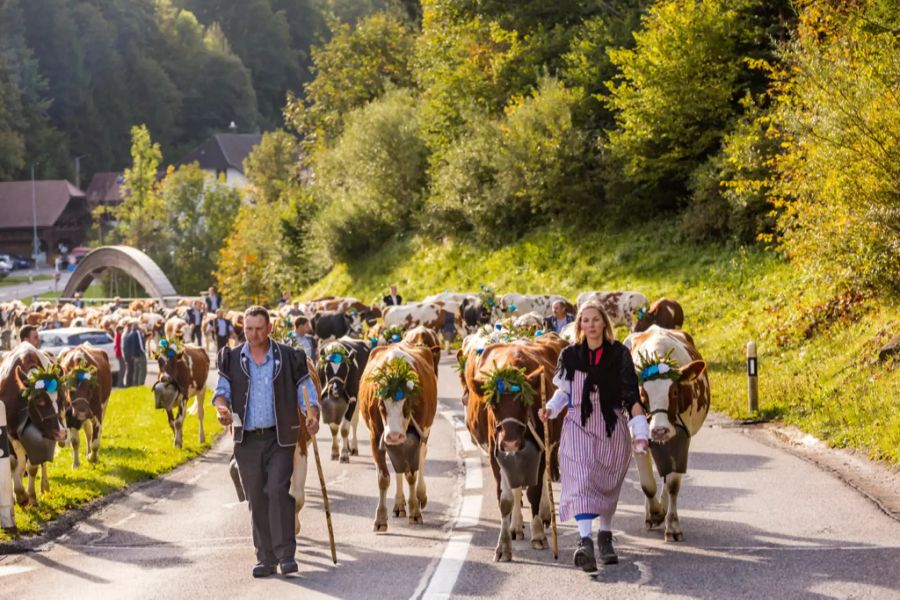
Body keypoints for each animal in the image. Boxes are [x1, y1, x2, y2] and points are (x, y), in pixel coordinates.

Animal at [0, 342, 67, 506]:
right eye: (40, 400)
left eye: (61, 398)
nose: (62, 433)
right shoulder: (8, 431)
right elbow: (12, 462)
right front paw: (19, 494)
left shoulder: (43, 433)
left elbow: (33, 466)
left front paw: (30, 496)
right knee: (20, 462)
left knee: (39, 463)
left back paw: (44, 486)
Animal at [362, 344, 440, 532]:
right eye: (381, 404)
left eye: (407, 404)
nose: (394, 435)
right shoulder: (375, 436)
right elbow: (383, 478)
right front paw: (380, 519)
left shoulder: (417, 435)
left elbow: (411, 474)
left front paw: (415, 512)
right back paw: (398, 504)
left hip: (425, 432)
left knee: (421, 458)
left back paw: (420, 496)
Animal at [464, 342, 564, 564]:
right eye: (493, 404)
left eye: (524, 402)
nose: (510, 442)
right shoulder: (495, 456)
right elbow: (505, 500)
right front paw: (503, 545)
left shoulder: (541, 452)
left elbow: (535, 491)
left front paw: (538, 535)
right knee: (516, 487)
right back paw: (516, 526)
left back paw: (544, 514)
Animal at [624, 326, 712, 540]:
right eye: (642, 394)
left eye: (674, 392)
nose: (659, 430)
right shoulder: (636, 436)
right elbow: (647, 484)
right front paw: (655, 513)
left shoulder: (681, 439)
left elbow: (672, 484)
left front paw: (672, 524)